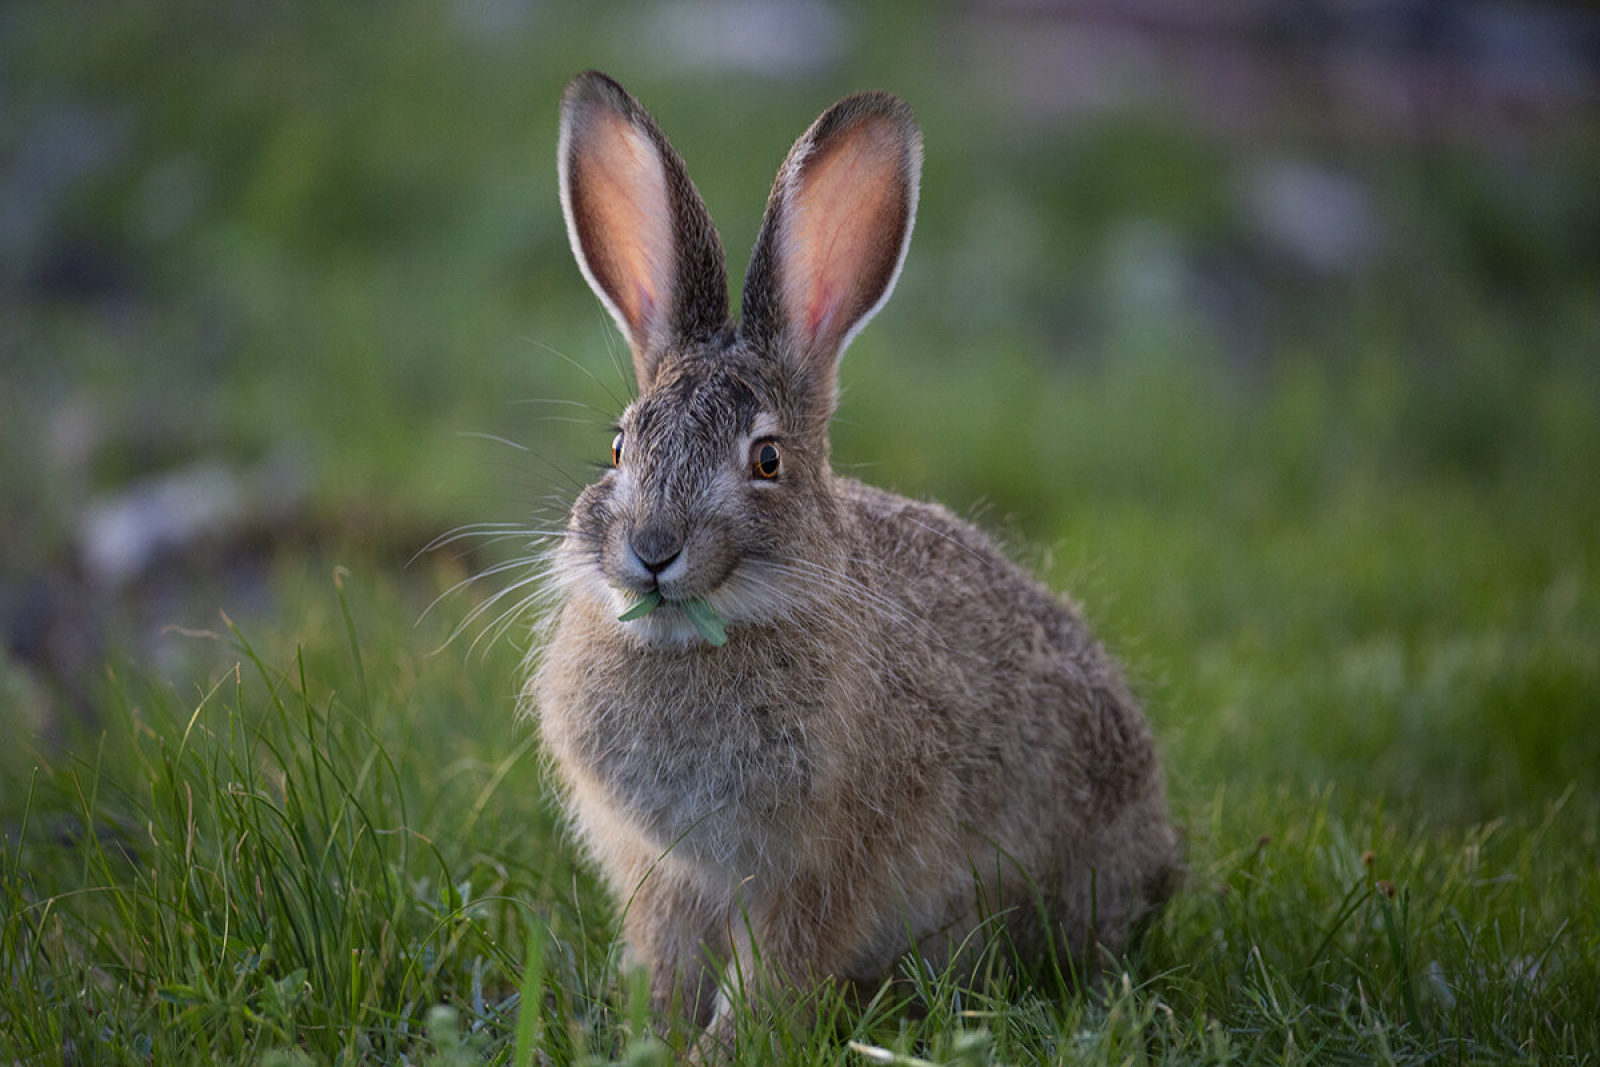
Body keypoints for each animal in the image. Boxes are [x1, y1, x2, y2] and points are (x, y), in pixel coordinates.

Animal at [532, 70, 1181, 1041]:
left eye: (767, 460)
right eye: (617, 448)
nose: (651, 550)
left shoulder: (820, 866)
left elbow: (776, 968)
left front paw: (722, 1046)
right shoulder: (663, 872)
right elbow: (668, 957)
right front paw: (653, 1032)